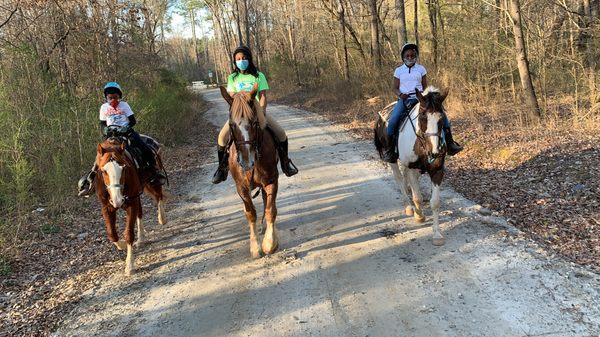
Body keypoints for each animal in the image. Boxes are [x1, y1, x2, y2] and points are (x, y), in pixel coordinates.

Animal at [95, 133, 166, 274]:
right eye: (104, 171)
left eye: (124, 168)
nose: (117, 200)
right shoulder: (106, 207)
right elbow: (112, 234)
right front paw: (121, 245)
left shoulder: (131, 203)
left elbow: (128, 233)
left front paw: (129, 265)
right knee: (140, 213)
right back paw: (141, 238)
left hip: (151, 182)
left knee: (159, 196)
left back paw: (162, 218)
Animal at [219, 84, 280, 258]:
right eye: (232, 125)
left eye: (254, 123)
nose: (247, 162)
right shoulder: (242, 187)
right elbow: (250, 213)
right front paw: (255, 247)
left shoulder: (271, 181)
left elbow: (270, 210)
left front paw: (269, 244)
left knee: (266, 202)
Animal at [376, 86, 450, 244]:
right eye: (422, 118)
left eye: (441, 119)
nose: (435, 152)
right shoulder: (412, 168)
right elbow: (418, 197)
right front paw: (419, 215)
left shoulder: (437, 170)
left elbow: (435, 202)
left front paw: (437, 234)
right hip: (393, 160)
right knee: (399, 179)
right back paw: (409, 207)